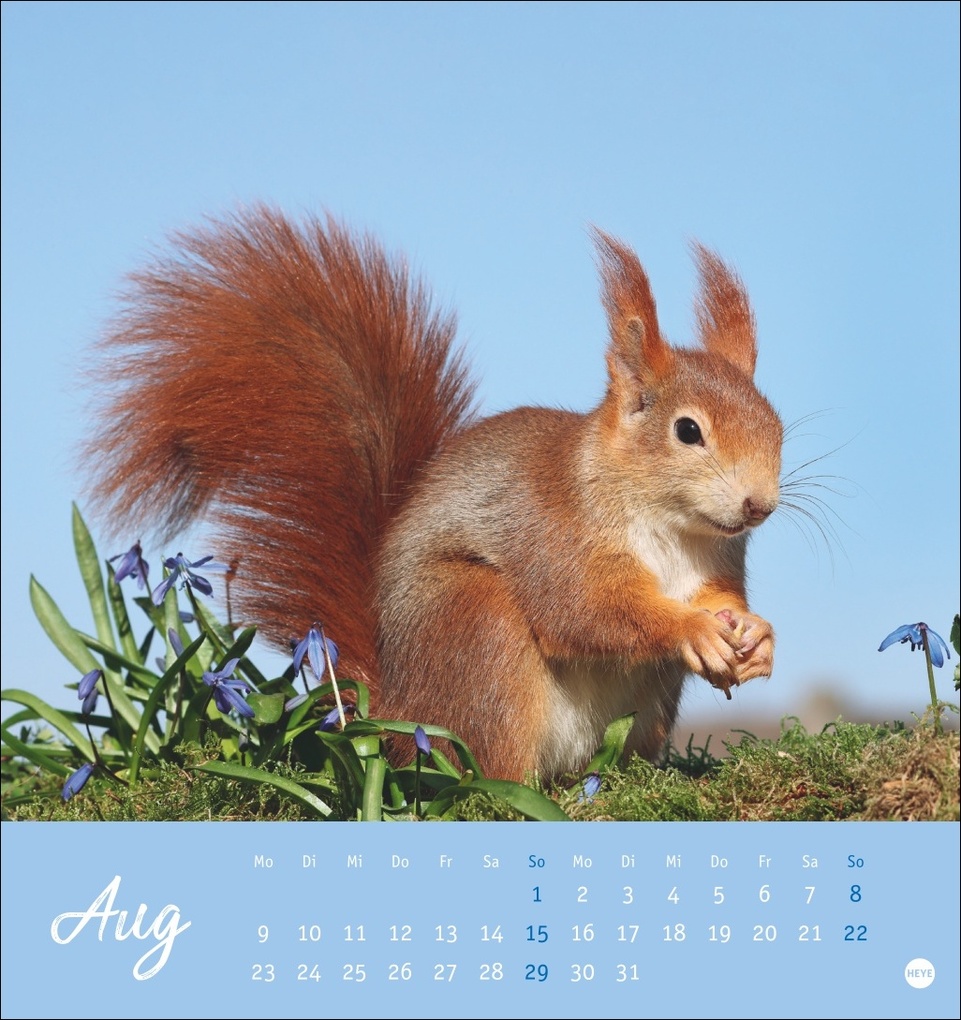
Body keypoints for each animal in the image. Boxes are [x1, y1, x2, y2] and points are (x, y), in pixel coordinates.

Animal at [87, 205, 783, 782]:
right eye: (687, 430)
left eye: (775, 423)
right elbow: (587, 610)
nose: (760, 505)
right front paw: (691, 627)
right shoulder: (556, 532)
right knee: (492, 773)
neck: (671, 526)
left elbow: (722, 597)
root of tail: (392, 710)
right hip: (476, 627)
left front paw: (754, 634)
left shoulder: (720, 558)